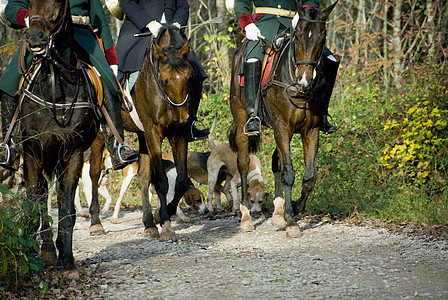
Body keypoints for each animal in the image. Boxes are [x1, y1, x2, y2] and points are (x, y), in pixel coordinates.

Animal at [17, 0, 101, 278]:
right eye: (29, 3)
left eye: (59, 3)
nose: (34, 37)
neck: (56, 87)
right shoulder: (32, 151)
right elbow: (34, 205)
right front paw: (35, 256)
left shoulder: (73, 153)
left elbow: (66, 209)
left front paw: (67, 259)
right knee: (42, 196)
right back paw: (45, 248)